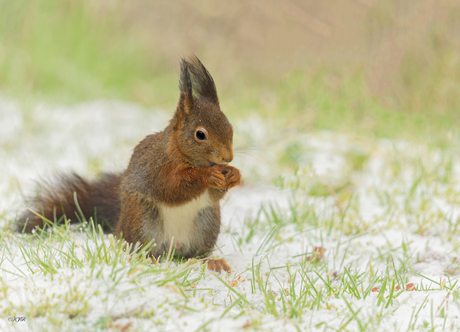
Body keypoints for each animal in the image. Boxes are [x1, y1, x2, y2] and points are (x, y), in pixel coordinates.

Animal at [16, 57, 243, 274]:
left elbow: (214, 196)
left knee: (193, 254)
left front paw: (234, 175)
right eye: (200, 134)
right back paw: (146, 259)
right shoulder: (156, 168)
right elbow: (172, 188)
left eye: (230, 127)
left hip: (206, 224)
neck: (184, 156)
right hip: (142, 220)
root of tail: (172, 249)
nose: (228, 157)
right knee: (141, 247)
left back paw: (210, 262)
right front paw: (207, 176)